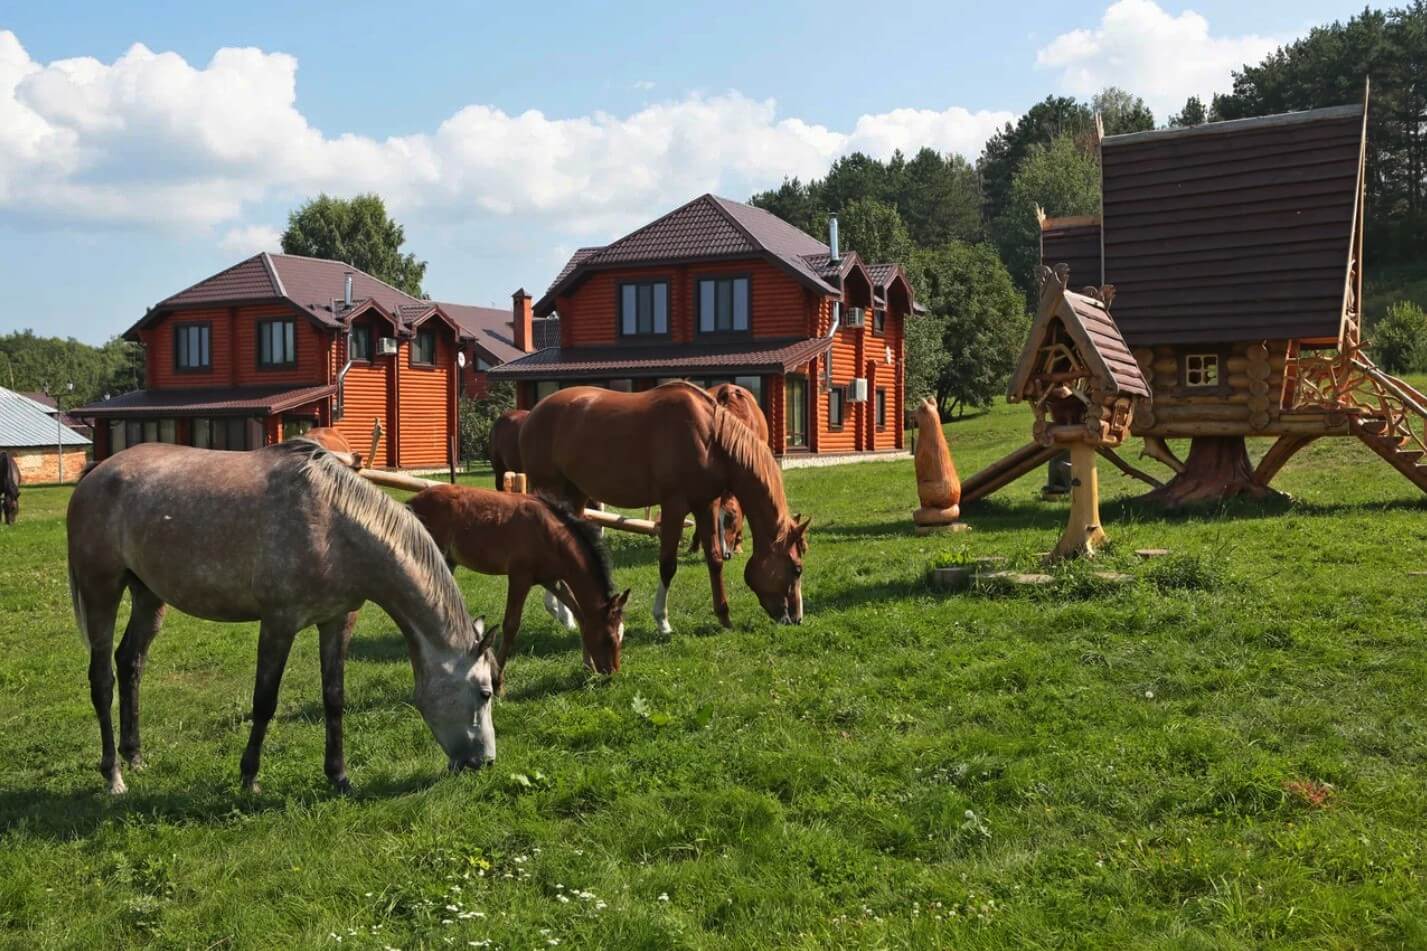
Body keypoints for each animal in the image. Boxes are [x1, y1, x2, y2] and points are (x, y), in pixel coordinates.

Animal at [68, 439, 502, 793]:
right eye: (484, 692)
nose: (485, 762)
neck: (334, 527)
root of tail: (97, 473)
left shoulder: (337, 621)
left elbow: (334, 698)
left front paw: (338, 776)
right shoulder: (279, 624)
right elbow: (264, 700)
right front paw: (249, 776)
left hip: (148, 596)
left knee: (130, 663)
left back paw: (134, 756)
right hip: (101, 591)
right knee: (102, 679)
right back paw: (113, 775)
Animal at [408, 482, 630, 682]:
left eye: (620, 636)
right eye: (608, 639)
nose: (611, 673)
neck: (550, 536)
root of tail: (411, 502)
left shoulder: (550, 579)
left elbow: (579, 613)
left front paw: (587, 666)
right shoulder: (520, 577)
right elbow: (511, 625)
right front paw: (497, 679)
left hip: (448, 562)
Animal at [525, 376, 816, 628]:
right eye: (797, 569)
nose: (796, 618)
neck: (711, 439)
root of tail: (535, 412)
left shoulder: (705, 504)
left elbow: (714, 559)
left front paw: (724, 617)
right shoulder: (674, 505)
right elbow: (667, 564)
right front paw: (662, 621)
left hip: (575, 494)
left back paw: (565, 615)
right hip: (552, 490)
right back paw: (559, 612)